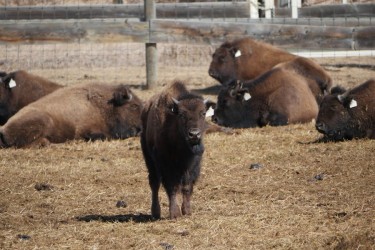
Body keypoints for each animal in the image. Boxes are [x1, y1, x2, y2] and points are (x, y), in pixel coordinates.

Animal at [141, 80, 213, 219]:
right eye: (181, 114)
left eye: (203, 113)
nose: (194, 134)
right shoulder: (166, 164)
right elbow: (172, 187)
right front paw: (174, 213)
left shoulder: (193, 164)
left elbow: (187, 186)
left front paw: (187, 211)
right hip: (149, 159)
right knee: (154, 183)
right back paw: (155, 212)